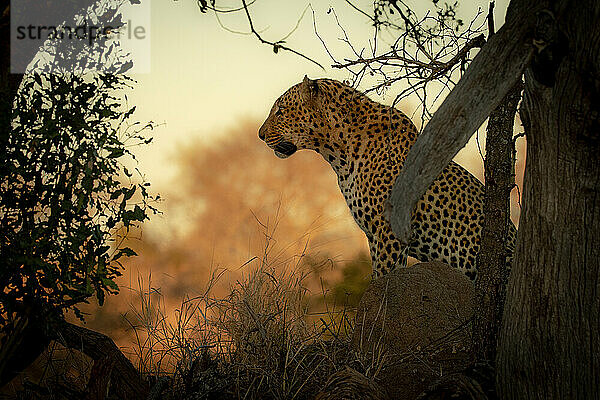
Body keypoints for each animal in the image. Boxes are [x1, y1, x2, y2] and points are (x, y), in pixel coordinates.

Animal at [258, 76, 516, 282]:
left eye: (280, 110)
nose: (260, 135)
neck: (338, 153)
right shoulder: (373, 235)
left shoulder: (389, 229)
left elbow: (384, 275)